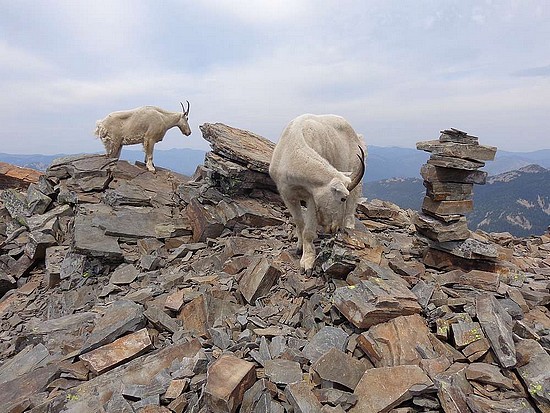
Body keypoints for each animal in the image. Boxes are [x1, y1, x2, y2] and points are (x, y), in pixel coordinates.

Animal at [270, 113, 366, 274]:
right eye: (342, 198)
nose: (334, 228)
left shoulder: (311, 198)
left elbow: (308, 231)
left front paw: (307, 264)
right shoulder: (287, 195)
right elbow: (299, 222)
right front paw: (299, 248)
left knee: (354, 199)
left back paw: (349, 225)